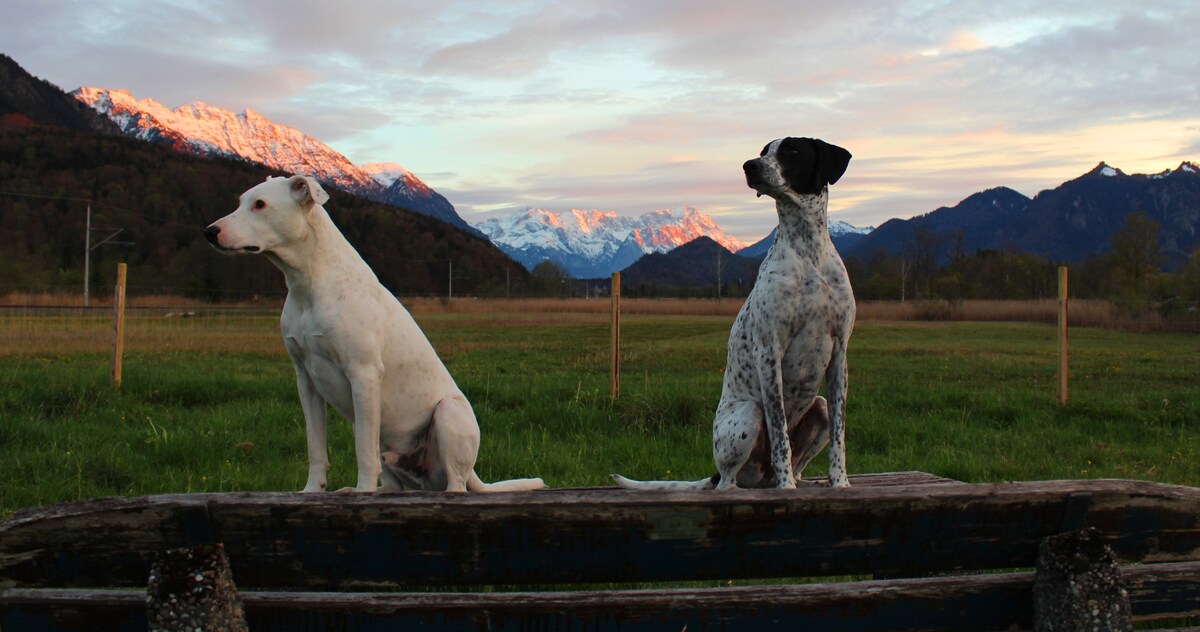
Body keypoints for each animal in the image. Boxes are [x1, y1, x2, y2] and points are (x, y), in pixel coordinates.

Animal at [206, 176, 544, 494]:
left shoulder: (363, 375)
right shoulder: (306, 380)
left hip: (448, 413)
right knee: (393, 483)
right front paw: (313, 490)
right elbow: (316, 447)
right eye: (241, 201)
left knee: (455, 484)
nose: (209, 231)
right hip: (389, 444)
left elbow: (362, 451)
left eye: (260, 204)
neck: (309, 283)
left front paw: (363, 492)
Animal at [614, 138, 859, 491]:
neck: (808, 251)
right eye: (764, 150)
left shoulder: (839, 353)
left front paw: (839, 483)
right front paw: (787, 489)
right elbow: (779, 433)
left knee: (802, 453)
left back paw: (802, 481)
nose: (750, 165)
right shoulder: (769, 351)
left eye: (792, 151)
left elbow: (840, 435)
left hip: (820, 407)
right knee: (730, 481)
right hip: (748, 414)